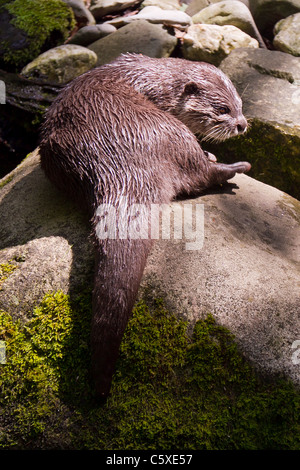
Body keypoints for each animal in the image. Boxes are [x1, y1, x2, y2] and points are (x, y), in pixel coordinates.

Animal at [39, 53, 251, 398]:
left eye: (241, 105)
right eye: (223, 110)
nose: (243, 124)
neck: (154, 83)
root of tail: (115, 164)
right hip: (172, 130)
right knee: (197, 173)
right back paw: (233, 167)